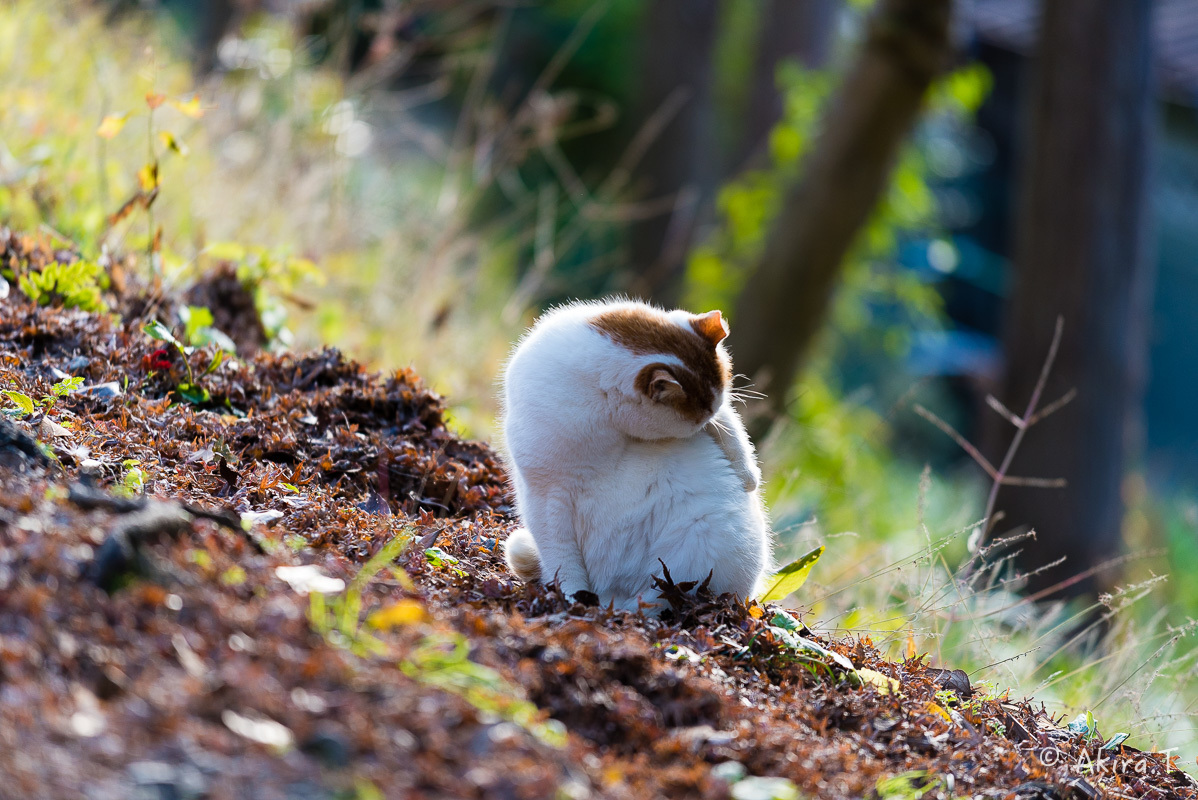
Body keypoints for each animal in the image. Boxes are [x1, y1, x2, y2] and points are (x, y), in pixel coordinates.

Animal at [500, 299, 771, 613]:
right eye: (696, 420)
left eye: (704, 417)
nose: (703, 425)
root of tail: (613, 596)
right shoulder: (547, 498)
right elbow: (563, 561)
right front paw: (570, 597)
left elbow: (730, 426)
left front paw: (748, 475)